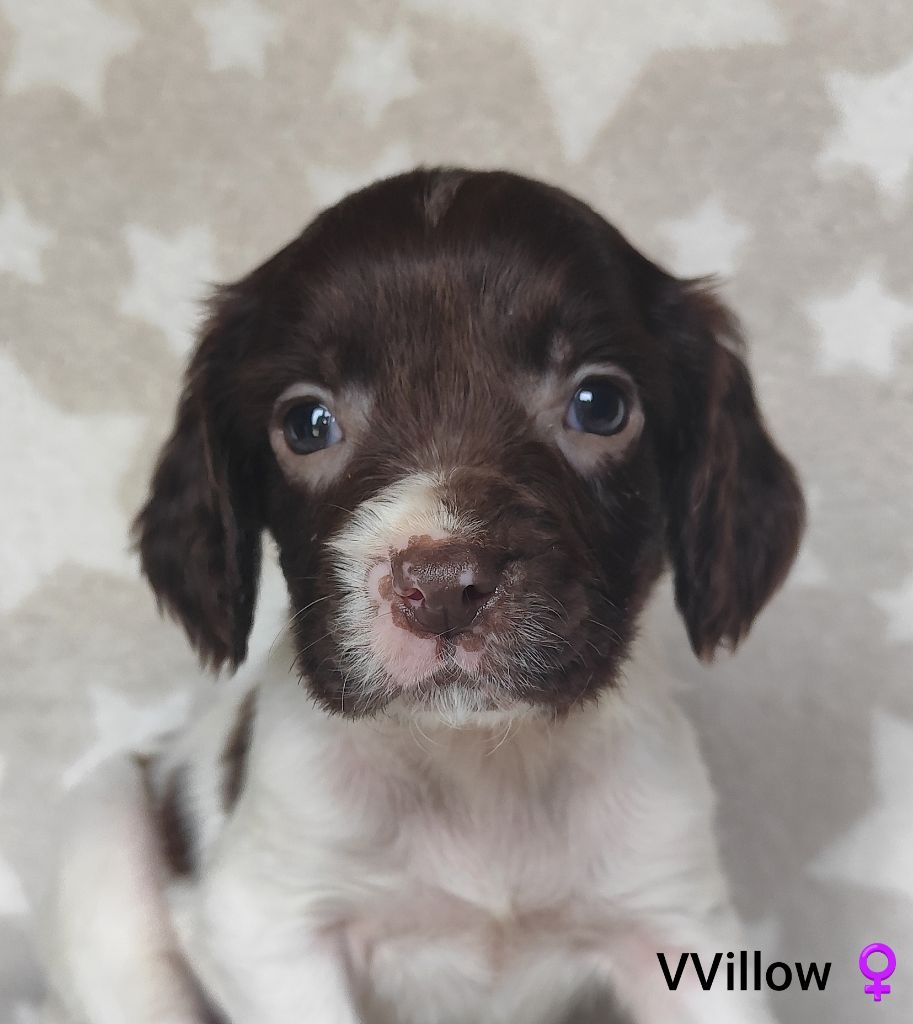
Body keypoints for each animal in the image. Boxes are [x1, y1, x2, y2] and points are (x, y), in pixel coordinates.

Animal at [44, 169, 798, 1024]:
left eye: (600, 405)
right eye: (306, 423)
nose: (439, 590)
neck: (477, 765)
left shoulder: (675, 924)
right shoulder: (268, 925)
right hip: (104, 840)